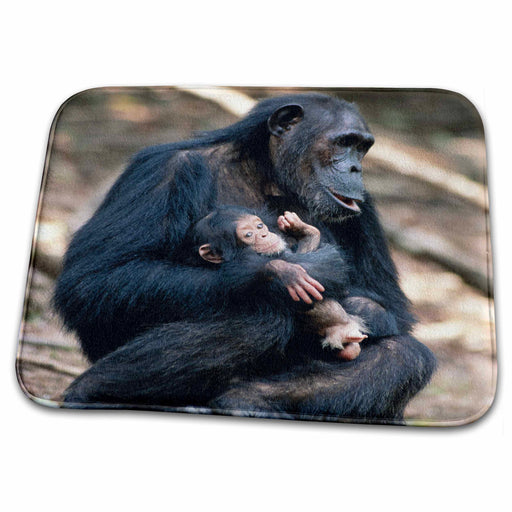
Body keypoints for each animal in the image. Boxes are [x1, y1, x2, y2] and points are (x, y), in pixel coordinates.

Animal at [190, 205, 366, 360]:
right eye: (248, 234)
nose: (263, 234)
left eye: (259, 226)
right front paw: (284, 270)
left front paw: (303, 230)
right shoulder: (237, 266)